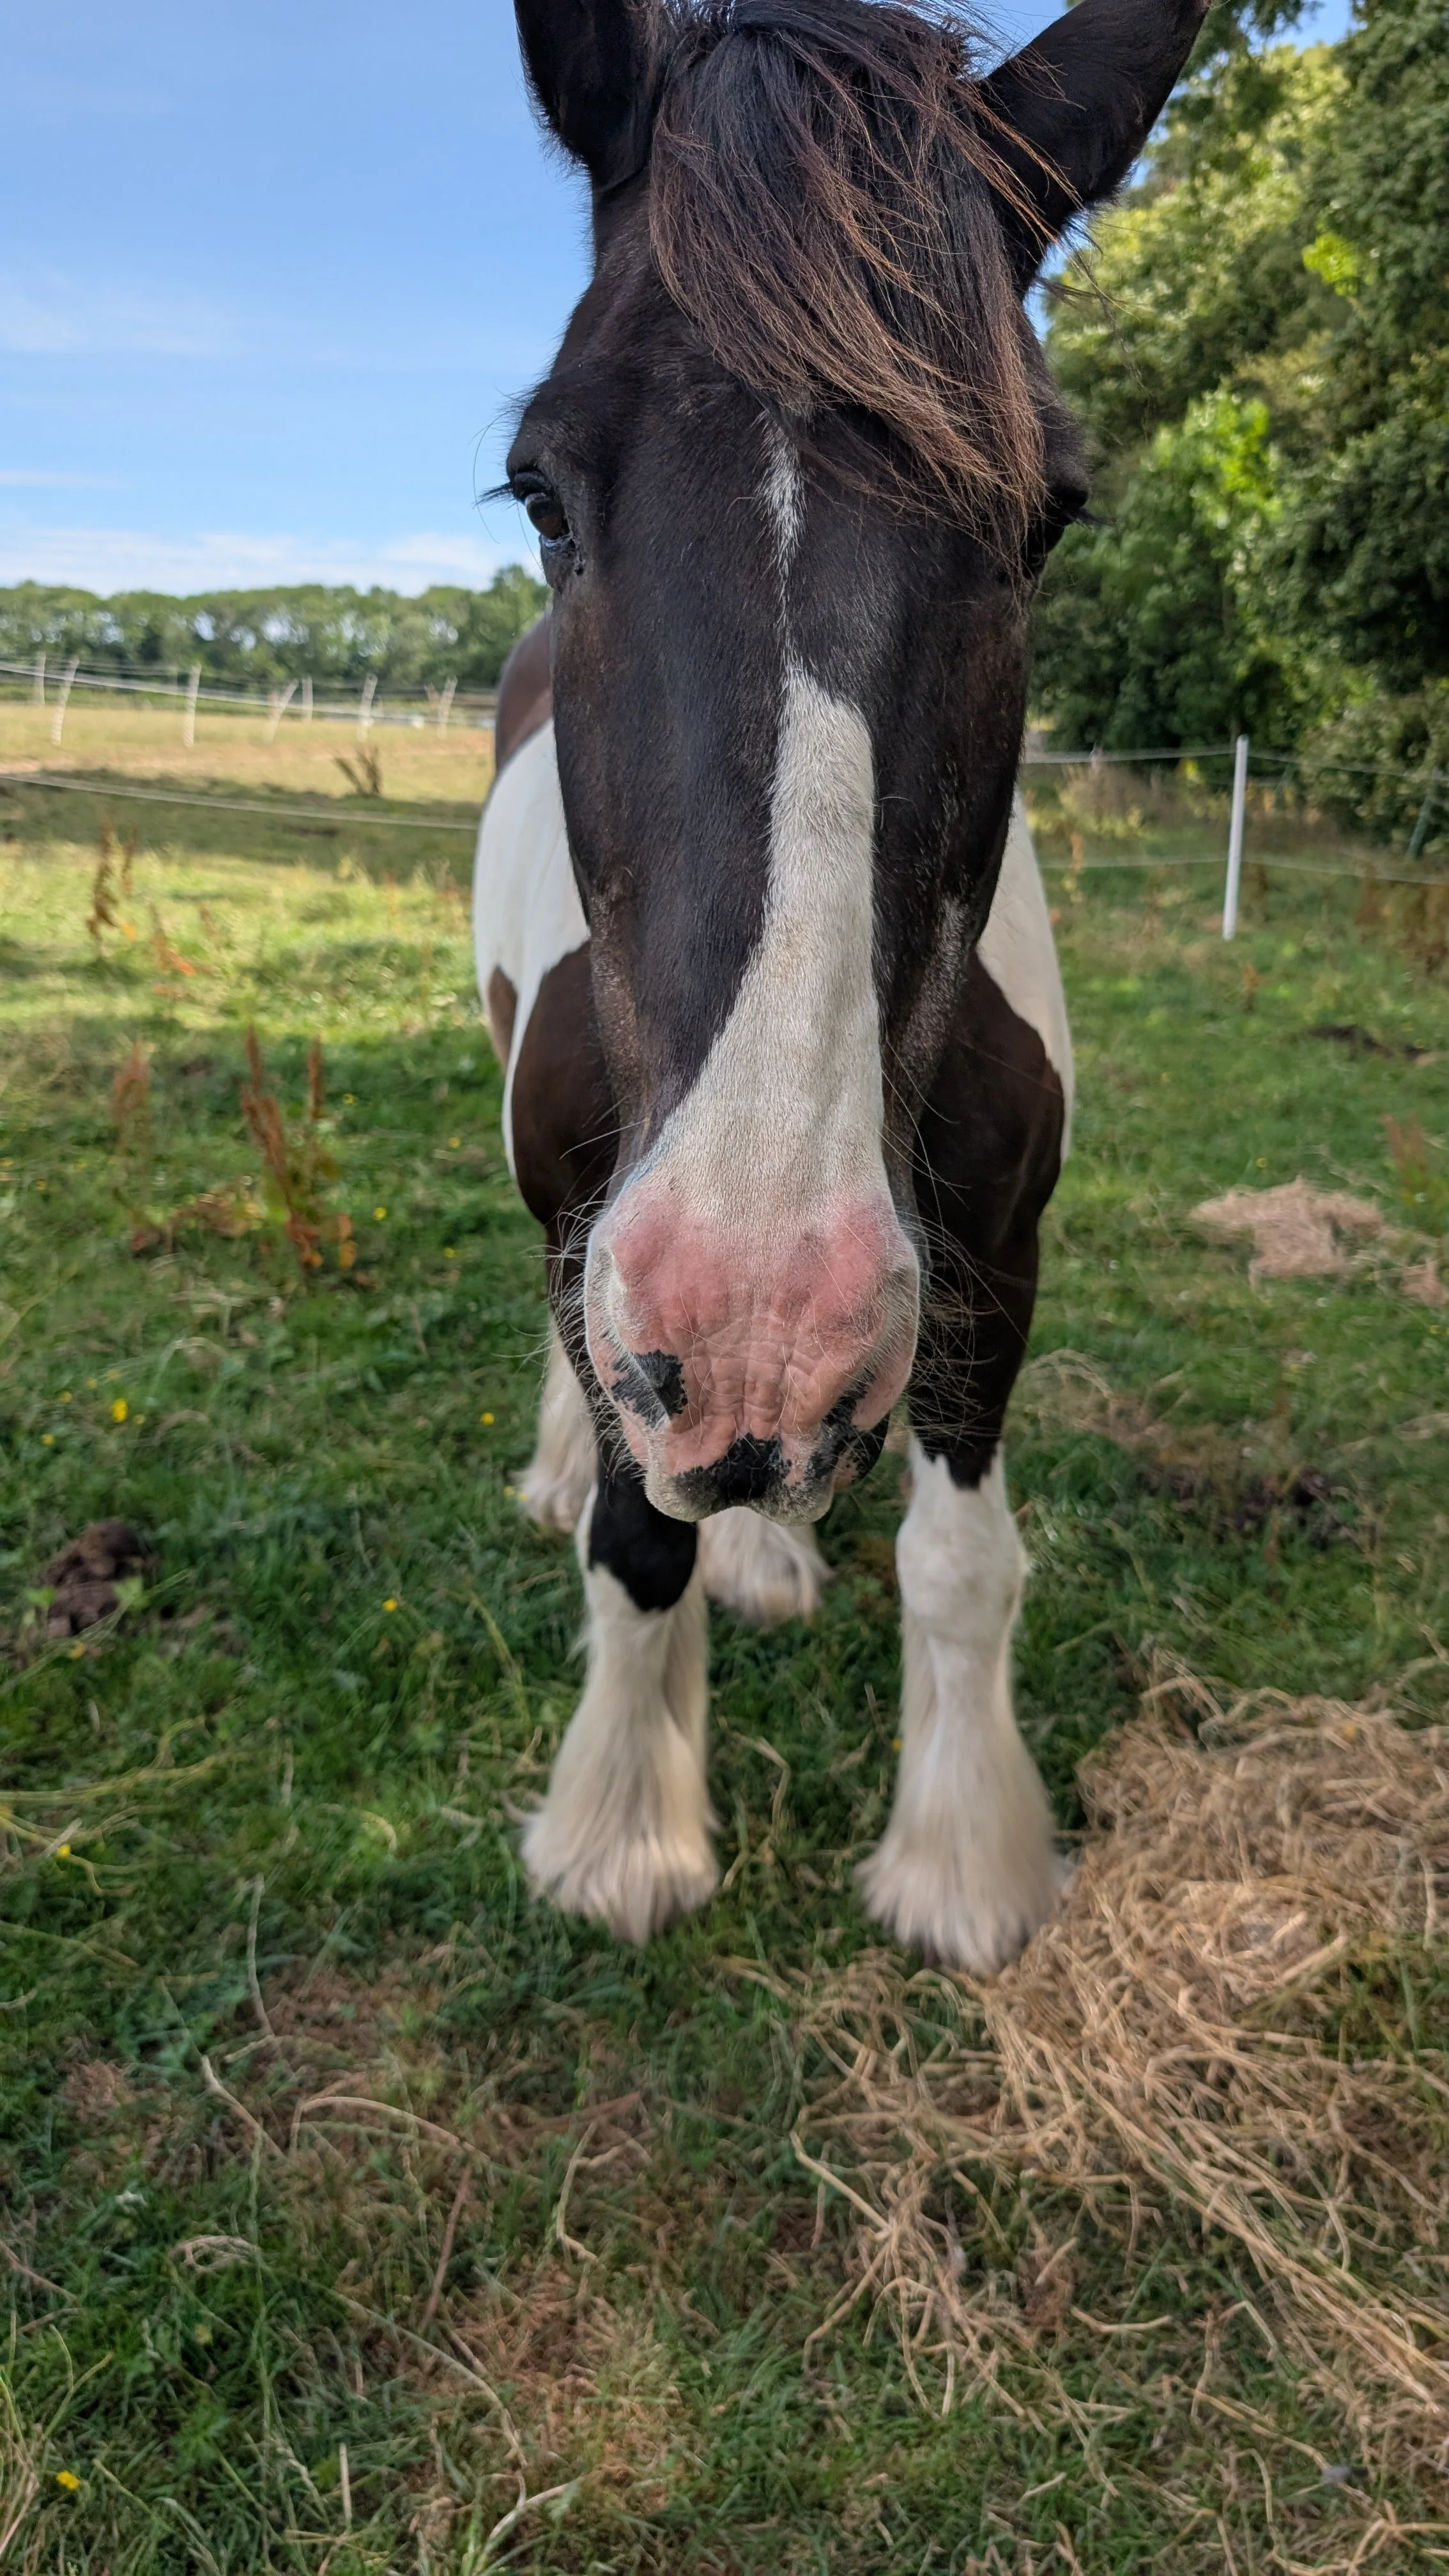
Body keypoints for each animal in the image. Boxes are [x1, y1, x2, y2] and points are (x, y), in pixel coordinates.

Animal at [474, 0, 1207, 1971]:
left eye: (1046, 516)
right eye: (541, 489)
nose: (760, 1316)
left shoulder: (994, 1252)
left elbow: (961, 1560)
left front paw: (963, 1862)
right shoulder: (609, 1252)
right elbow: (634, 1549)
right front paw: (621, 1830)